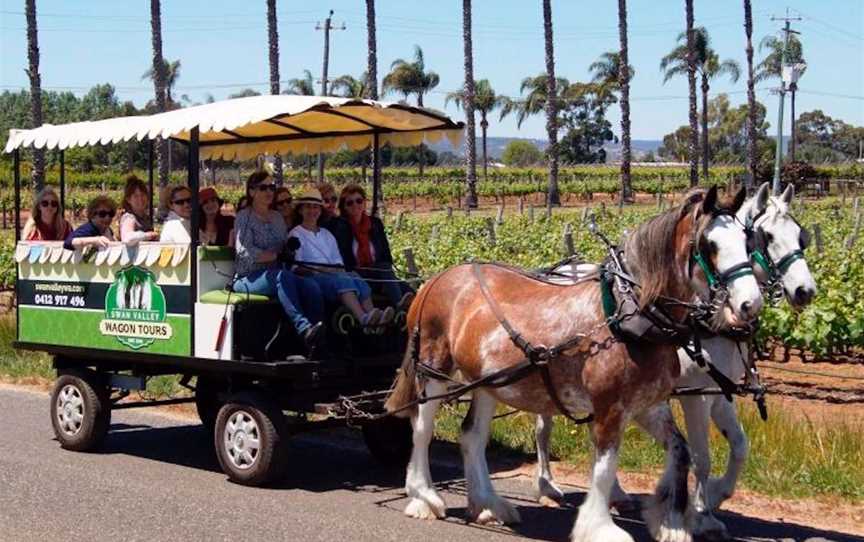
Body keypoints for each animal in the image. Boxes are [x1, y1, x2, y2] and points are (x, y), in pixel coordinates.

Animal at [384, 188, 764, 542]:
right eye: (709, 244)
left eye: (748, 240)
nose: (750, 304)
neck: (628, 315)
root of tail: (435, 280)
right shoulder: (610, 406)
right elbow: (605, 467)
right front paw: (600, 527)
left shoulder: (646, 404)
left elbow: (681, 451)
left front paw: (670, 521)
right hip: (432, 370)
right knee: (422, 430)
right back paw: (424, 497)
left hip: (489, 382)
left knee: (472, 436)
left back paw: (488, 504)